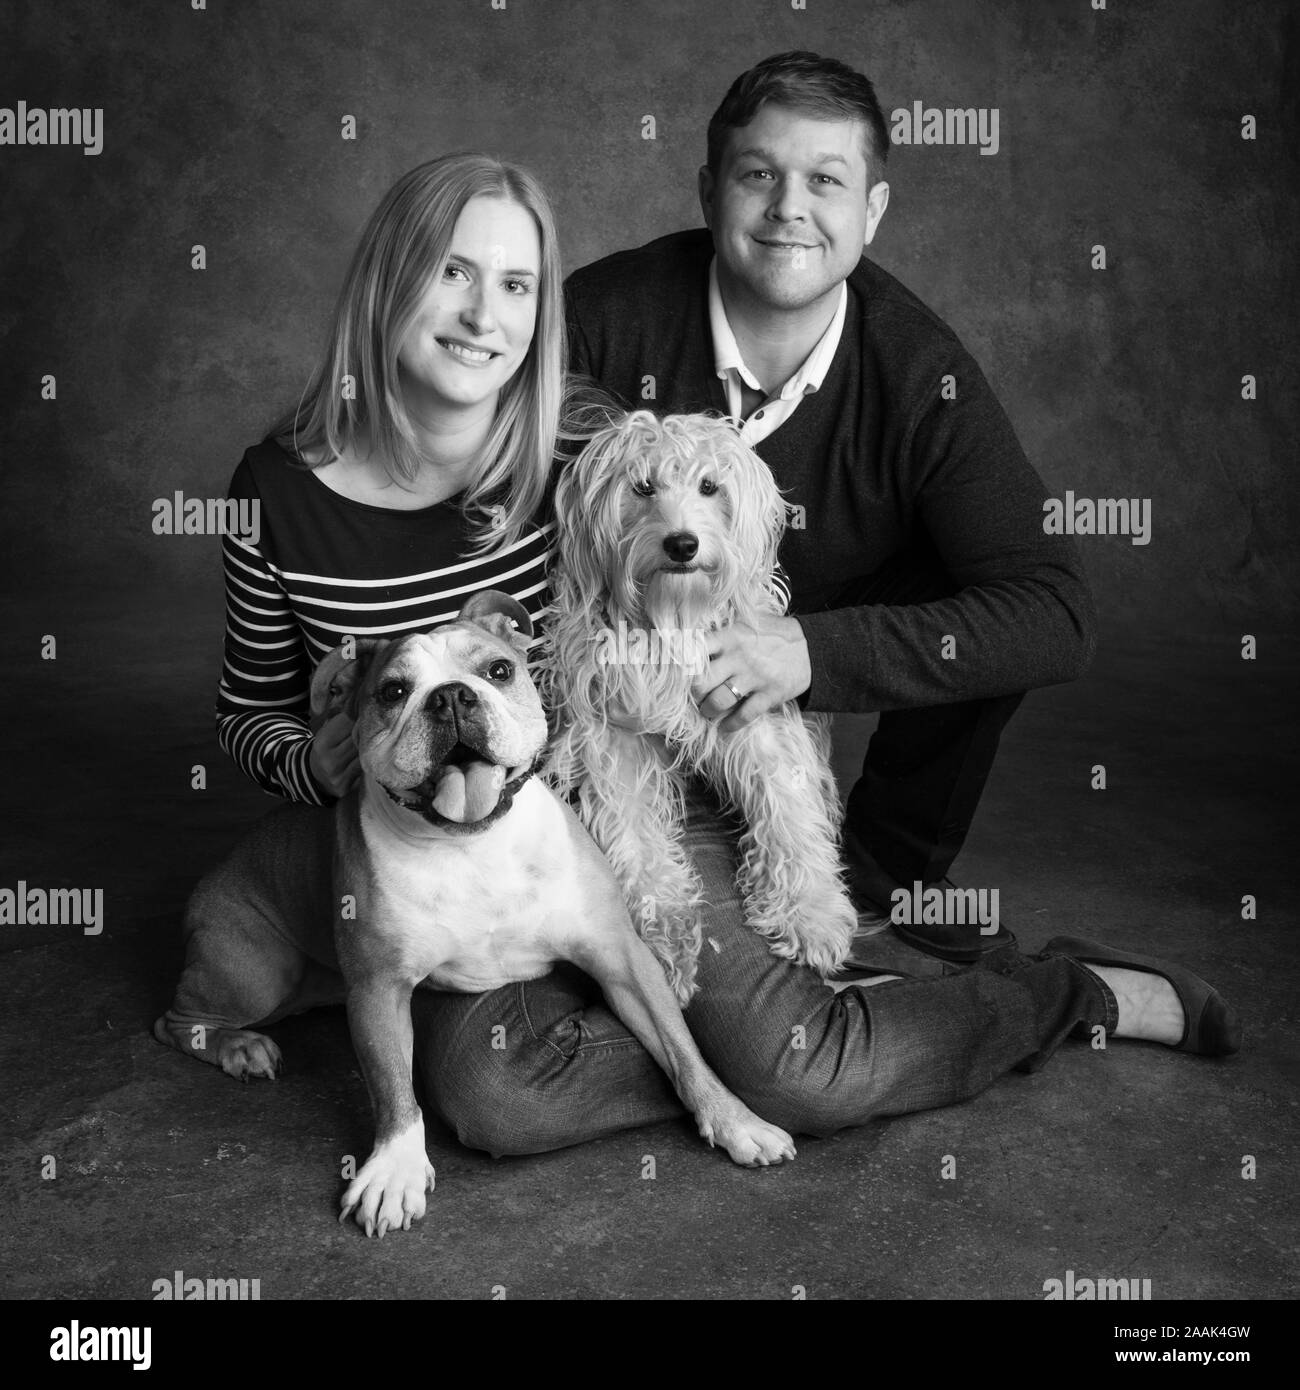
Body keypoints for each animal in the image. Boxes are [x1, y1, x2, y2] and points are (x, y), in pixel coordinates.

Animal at [545, 405, 856, 1006]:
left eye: (710, 487)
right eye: (642, 487)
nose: (682, 544)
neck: (673, 621)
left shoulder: (754, 709)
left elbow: (788, 811)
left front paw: (811, 914)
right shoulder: (614, 735)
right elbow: (633, 833)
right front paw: (664, 930)